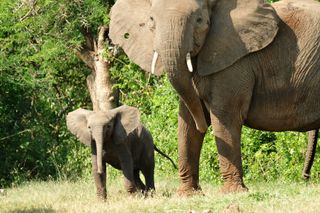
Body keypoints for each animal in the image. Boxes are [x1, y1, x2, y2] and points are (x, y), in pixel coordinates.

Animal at [109, 0, 320, 193]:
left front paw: (233, 193)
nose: (203, 124)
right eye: (151, 20)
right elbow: (186, 121)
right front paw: (188, 194)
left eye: (200, 20)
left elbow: (225, 118)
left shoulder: (234, 63)